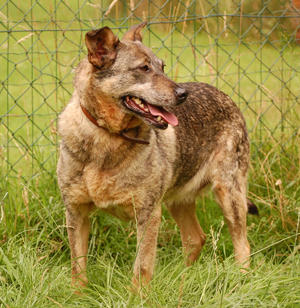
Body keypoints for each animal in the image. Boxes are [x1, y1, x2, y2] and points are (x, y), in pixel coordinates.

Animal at [56, 22, 258, 288]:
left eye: (162, 67)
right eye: (143, 68)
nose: (182, 94)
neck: (108, 138)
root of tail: (224, 95)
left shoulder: (149, 213)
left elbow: (141, 267)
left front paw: (137, 295)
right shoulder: (75, 212)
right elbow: (77, 269)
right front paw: (77, 294)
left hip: (229, 195)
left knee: (242, 245)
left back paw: (241, 281)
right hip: (178, 201)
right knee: (196, 238)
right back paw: (181, 280)